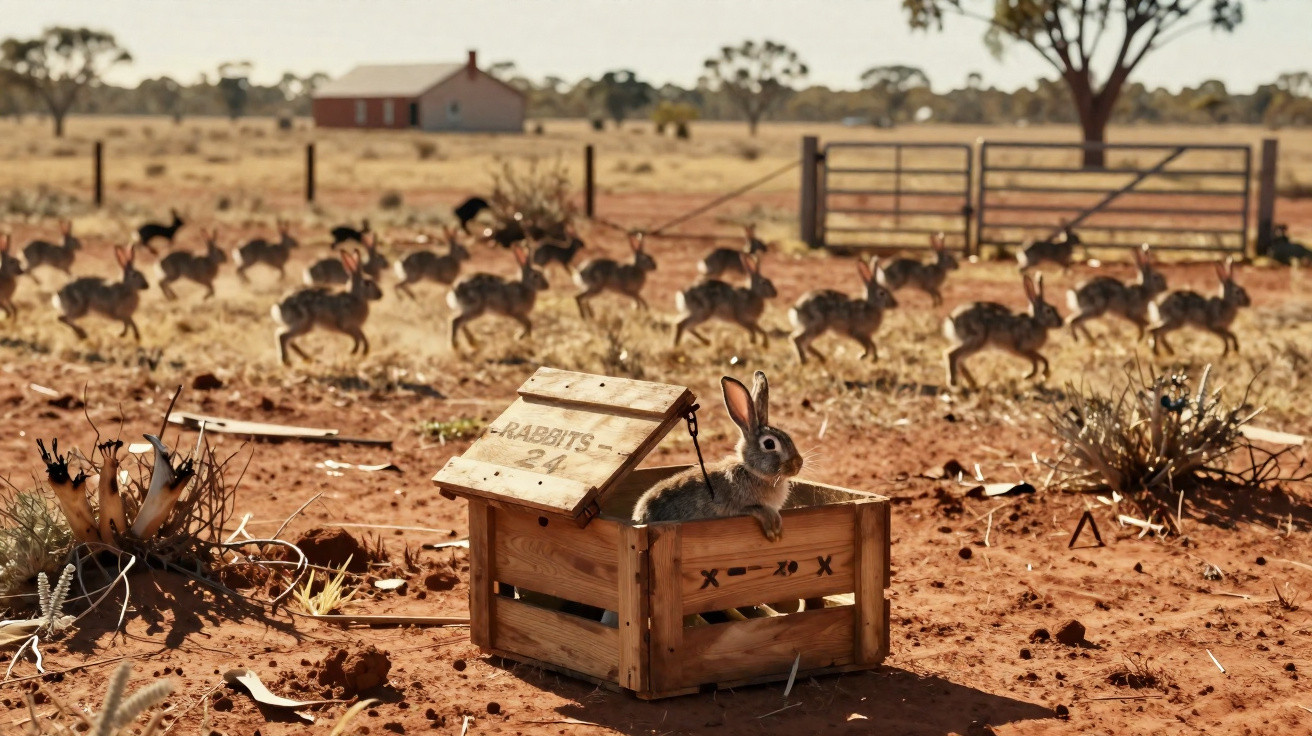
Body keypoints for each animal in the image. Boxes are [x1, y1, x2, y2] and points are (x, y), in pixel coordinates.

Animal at [633, 371, 802, 542]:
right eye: (769, 444)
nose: (798, 463)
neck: (752, 472)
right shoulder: (735, 506)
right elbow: (757, 509)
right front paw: (774, 529)